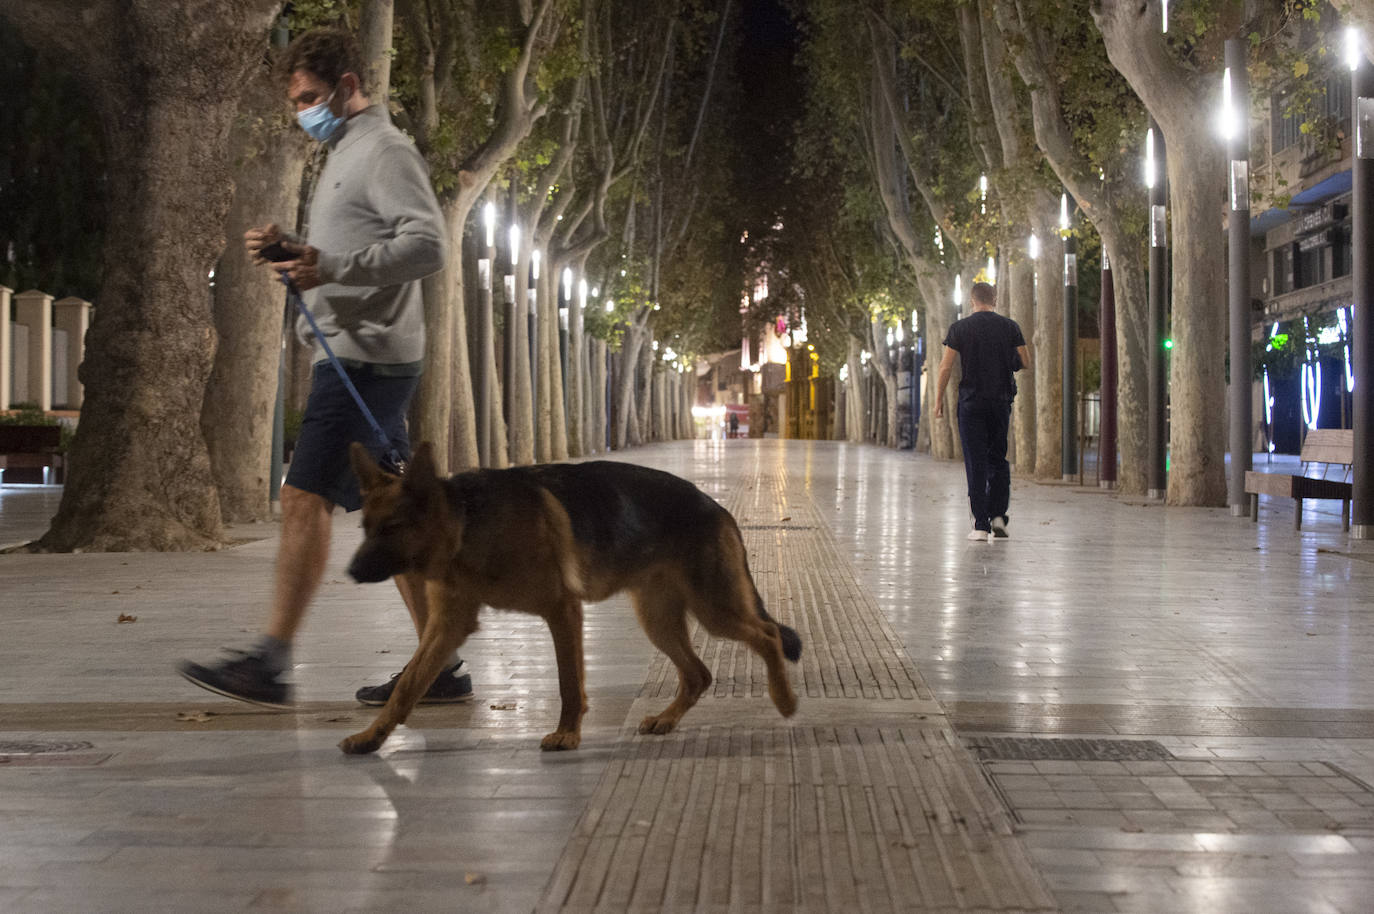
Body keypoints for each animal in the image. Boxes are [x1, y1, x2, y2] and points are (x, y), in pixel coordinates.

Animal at [336, 442, 802, 753]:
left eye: (391, 528)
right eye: (365, 528)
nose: (350, 573)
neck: (465, 523)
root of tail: (718, 508)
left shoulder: (562, 611)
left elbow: (568, 684)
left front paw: (567, 734)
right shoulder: (446, 628)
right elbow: (408, 686)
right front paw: (372, 736)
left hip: (714, 610)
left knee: (767, 636)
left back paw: (785, 699)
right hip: (660, 622)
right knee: (699, 674)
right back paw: (668, 719)